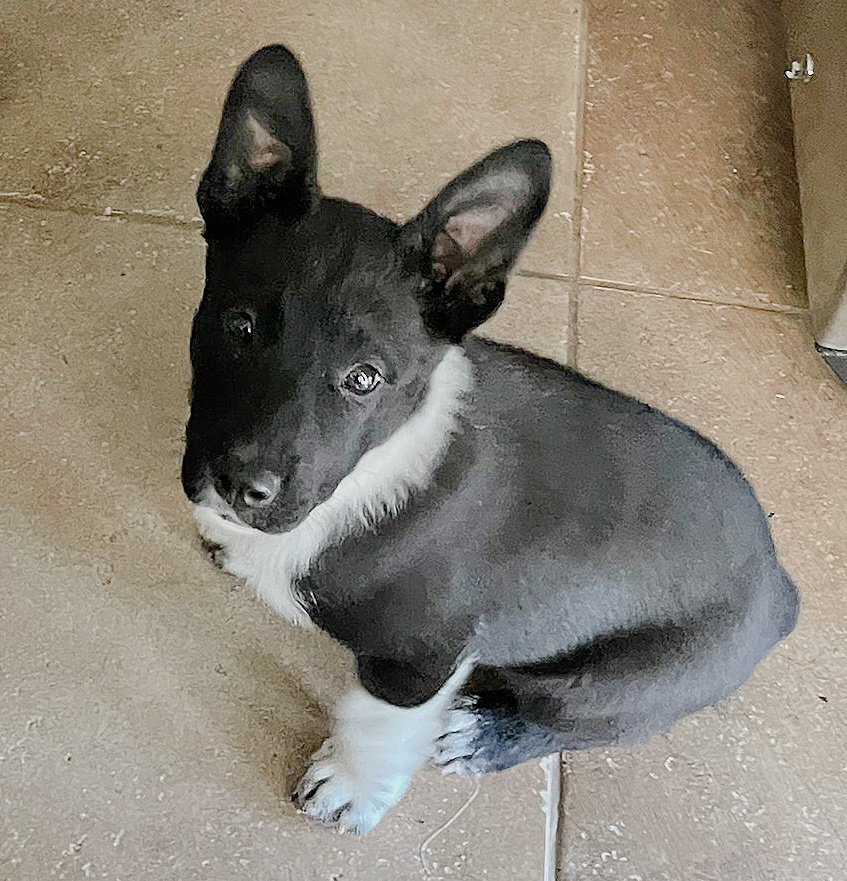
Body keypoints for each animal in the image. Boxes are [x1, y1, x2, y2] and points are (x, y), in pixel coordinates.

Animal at [182, 46, 800, 832]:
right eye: (239, 327)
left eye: (364, 378)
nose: (242, 485)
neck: (369, 469)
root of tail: (778, 587)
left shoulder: (423, 656)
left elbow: (378, 722)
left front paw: (351, 784)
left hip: (618, 682)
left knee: (576, 719)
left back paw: (484, 733)